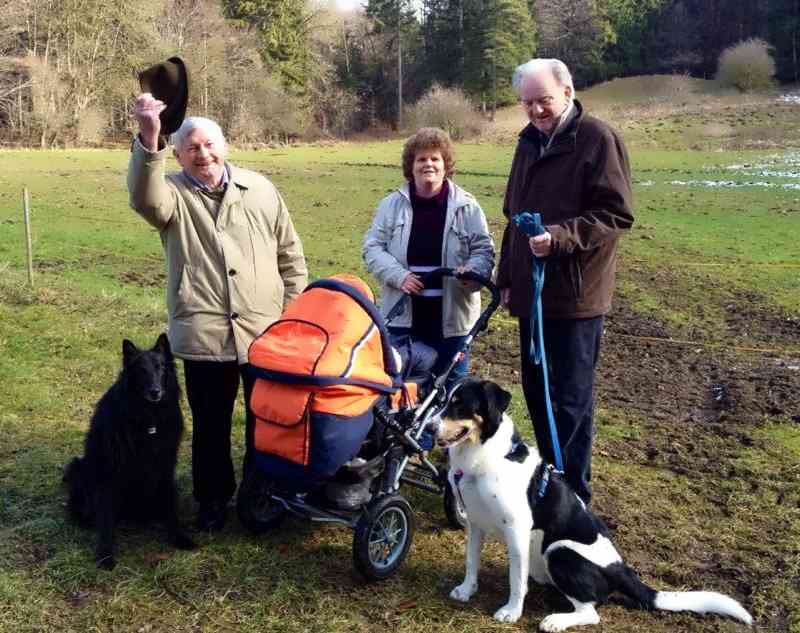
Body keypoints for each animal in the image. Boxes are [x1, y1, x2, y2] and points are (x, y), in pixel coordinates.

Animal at [63, 334, 196, 572]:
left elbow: (171, 509)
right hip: (79, 468)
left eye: (161, 368)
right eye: (141, 370)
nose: (155, 392)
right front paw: (105, 554)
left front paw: (179, 537)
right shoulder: (110, 471)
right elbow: (106, 518)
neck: (148, 419)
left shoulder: (164, 466)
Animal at [434, 378, 752, 628]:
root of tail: (622, 569)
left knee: (590, 611)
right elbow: (472, 562)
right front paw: (467, 590)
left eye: (460, 405)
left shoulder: (517, 528)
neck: (484, 458)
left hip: (560, 550)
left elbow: (516, 579)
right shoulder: (475, 523)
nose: (429, 427)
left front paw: (512, 611)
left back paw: (556, 621)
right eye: (443, 401)